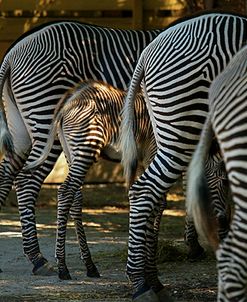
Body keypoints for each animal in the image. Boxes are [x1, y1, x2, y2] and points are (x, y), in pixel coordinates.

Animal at [0, 20, 162, 276]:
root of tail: (12, 53)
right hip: (46, 118)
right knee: (28, 181)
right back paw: (40, 259)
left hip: (22, 131)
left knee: (9, 173)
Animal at [118, 11, 246, 300]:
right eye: (222, 181)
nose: (221, 225)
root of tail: (148, 50)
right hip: (183, 123)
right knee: (145, 190)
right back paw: (140, 283)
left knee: (156, 196)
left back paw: (152, 279)